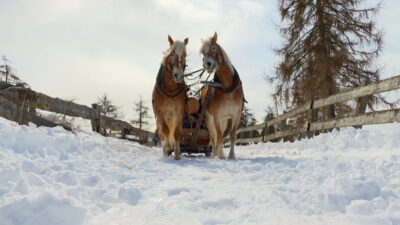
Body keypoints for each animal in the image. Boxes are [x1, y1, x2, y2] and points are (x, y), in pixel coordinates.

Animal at [199, 32, 244, 160]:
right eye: (203, 52)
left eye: (214, 47)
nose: (207, 64)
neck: (228, 89)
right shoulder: (216, 116)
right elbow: (218, 136)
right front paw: (220, 155)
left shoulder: (236, 114)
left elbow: (232, 135)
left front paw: (231, 155)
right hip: (209, 118)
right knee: (213, 135)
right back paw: (214, 153)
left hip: (224, 120)